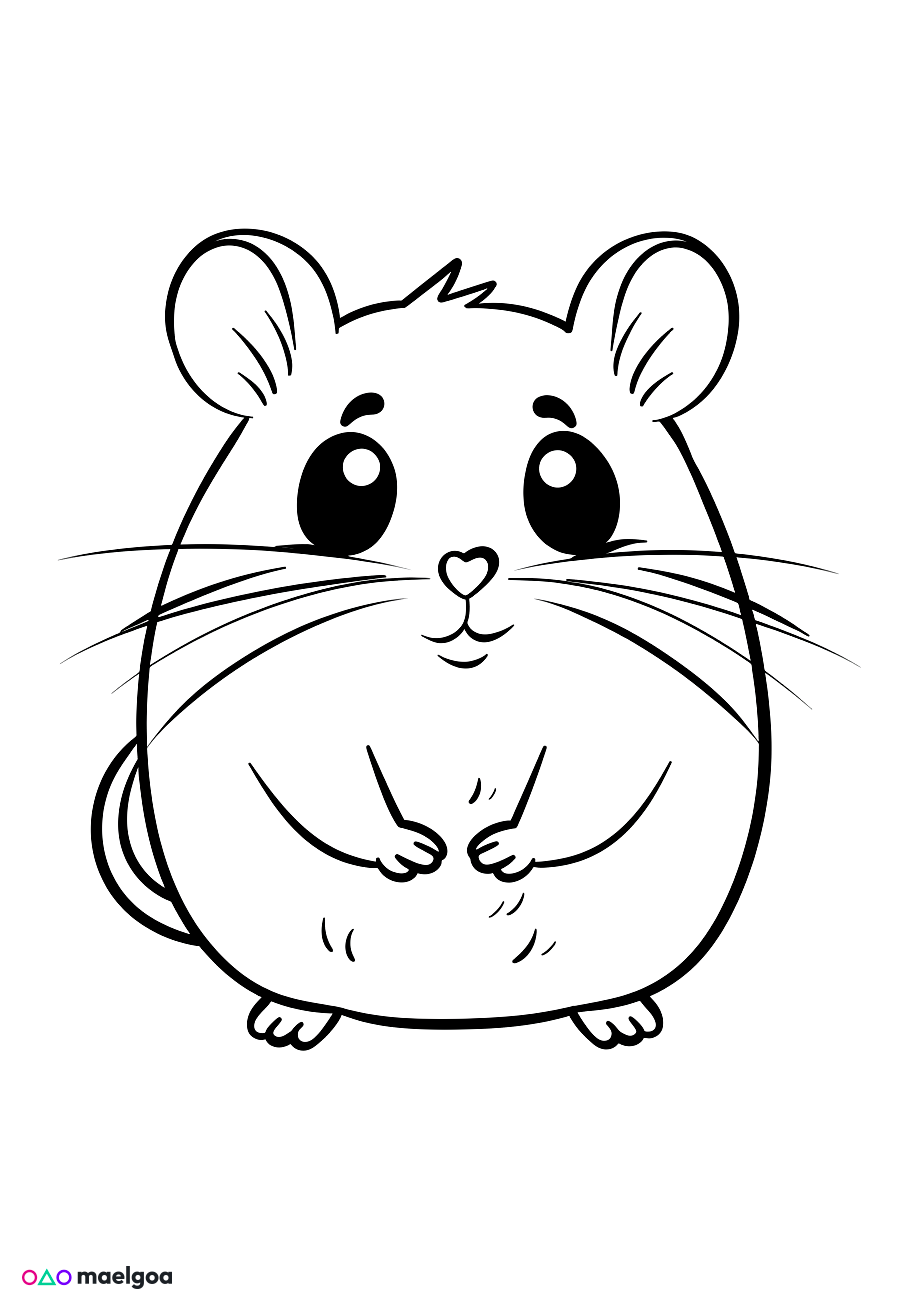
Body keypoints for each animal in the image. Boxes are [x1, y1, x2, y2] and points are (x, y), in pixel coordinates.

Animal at [91, 228, 773, 1051]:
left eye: (571, 478)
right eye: (346, 479)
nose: (467, 565)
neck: (455, 693)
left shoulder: (637, 710)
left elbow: (597, 776)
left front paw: (496, 850)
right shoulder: (277, 711)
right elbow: (318, 775)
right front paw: (417, 850)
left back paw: (621, 1018)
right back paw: (289, 1017)